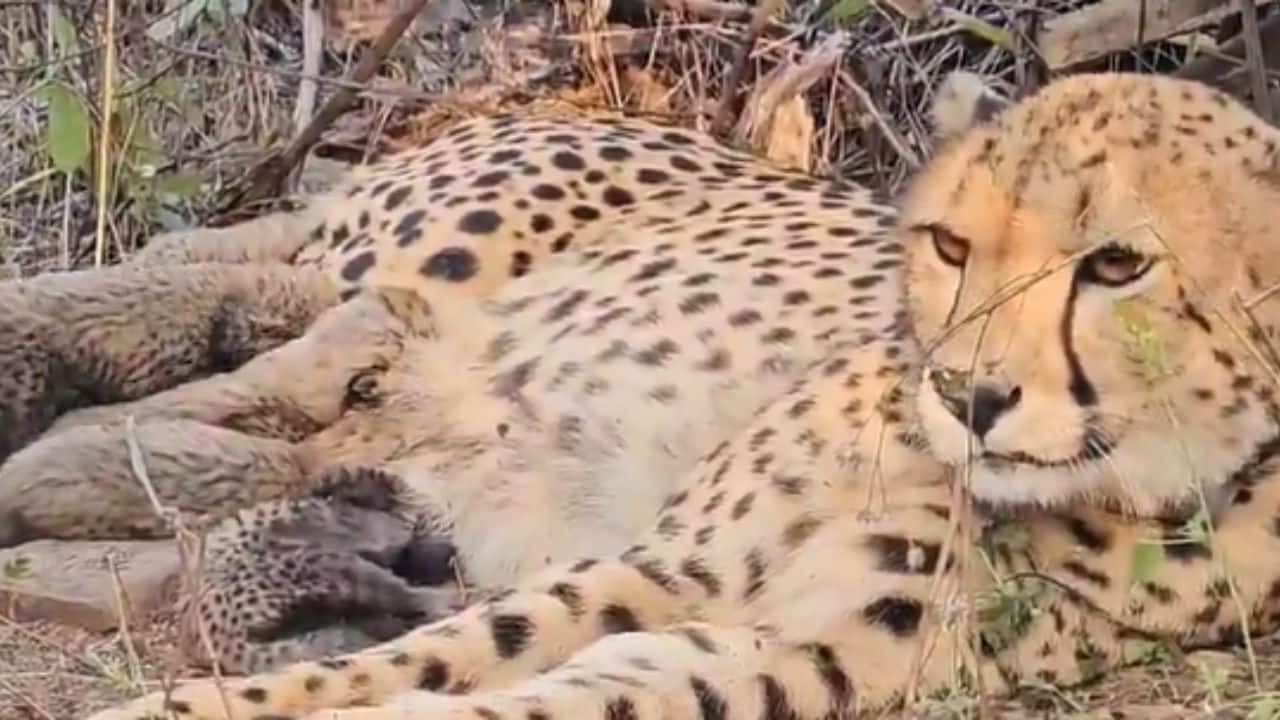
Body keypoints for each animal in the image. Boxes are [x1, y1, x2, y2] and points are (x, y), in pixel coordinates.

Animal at [19, 70, 1280, 720]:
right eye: (950, 244)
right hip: (419, 263)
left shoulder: (780, 653)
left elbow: (520, 692)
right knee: (248, 330)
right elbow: (415, 658)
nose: (964, 393)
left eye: (1115, 265)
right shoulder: (669, 566)